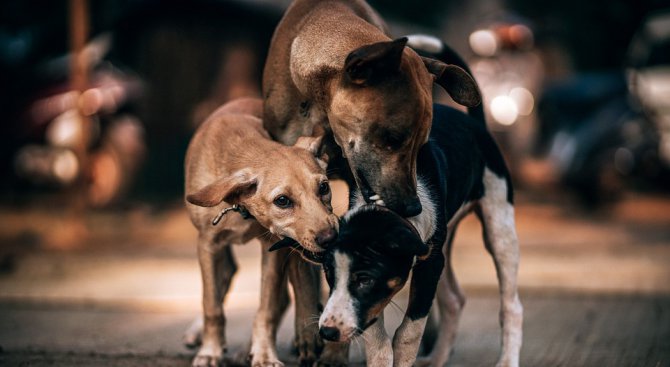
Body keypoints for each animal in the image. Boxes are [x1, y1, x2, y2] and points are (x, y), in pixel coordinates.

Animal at [184, 98, 338, 367]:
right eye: (282, 201)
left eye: (324, 187)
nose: (330, 238)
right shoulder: (207, 244)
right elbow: (211, 305)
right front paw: (210, 351)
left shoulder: (273, 247)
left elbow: (267, 309)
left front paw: (264, 353)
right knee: (225, 278)